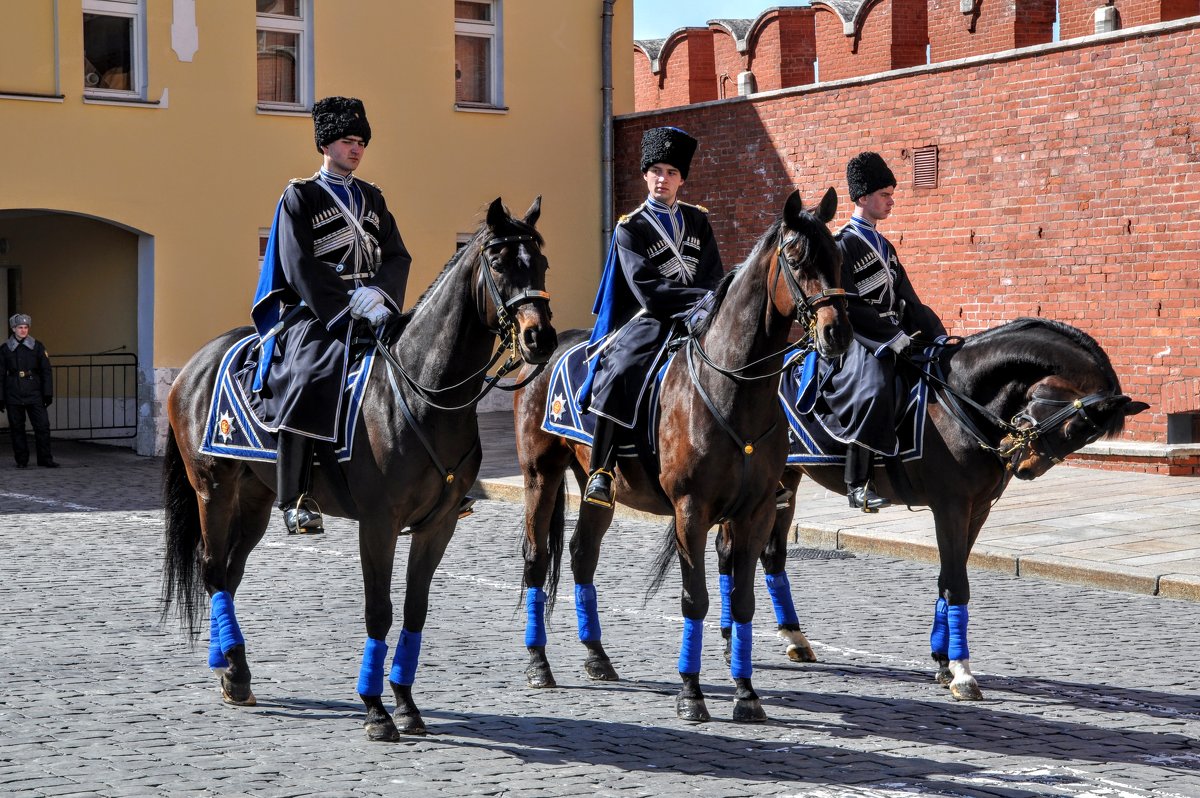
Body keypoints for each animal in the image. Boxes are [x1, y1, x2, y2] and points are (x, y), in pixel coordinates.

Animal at [159, 198, 556, 739]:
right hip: (212, 489)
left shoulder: (439, 525)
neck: (421, 393)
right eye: (498, 263)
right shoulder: (378, 524)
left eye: (541, 264)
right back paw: (235, 673)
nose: (541, 338)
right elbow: (379, 611)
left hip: (256, 498)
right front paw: (375, 709)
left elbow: (414, 610)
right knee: (213, 568)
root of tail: (194, 364)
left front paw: (405, 703)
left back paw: (228, 666)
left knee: (231, 572)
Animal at [511, 188, 849, 720]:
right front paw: (691, 692)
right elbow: (696, 598)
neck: (734, 387)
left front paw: (746, 692)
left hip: (594, 487)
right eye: (796, 257)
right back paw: (538, 664)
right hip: (539, 475)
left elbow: (743, 599)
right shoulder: (691, 511)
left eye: (837, 257)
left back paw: (597, 655)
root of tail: (547, 349)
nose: (838, 333)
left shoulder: (754, 512)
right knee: (535, 557)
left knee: (582, 554)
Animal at [724, 316, 1147, 696]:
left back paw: (793, 638)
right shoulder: (950, 506)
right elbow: (957, 585)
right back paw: (732, 640)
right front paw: (962, 673)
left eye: (1084, 439)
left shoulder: (977, 509)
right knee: (731, 554)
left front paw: (944, 663)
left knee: (770, 556)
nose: (1023, 465)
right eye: (1074, 428)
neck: (961, 398)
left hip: (784, 485)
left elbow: (948, 579)